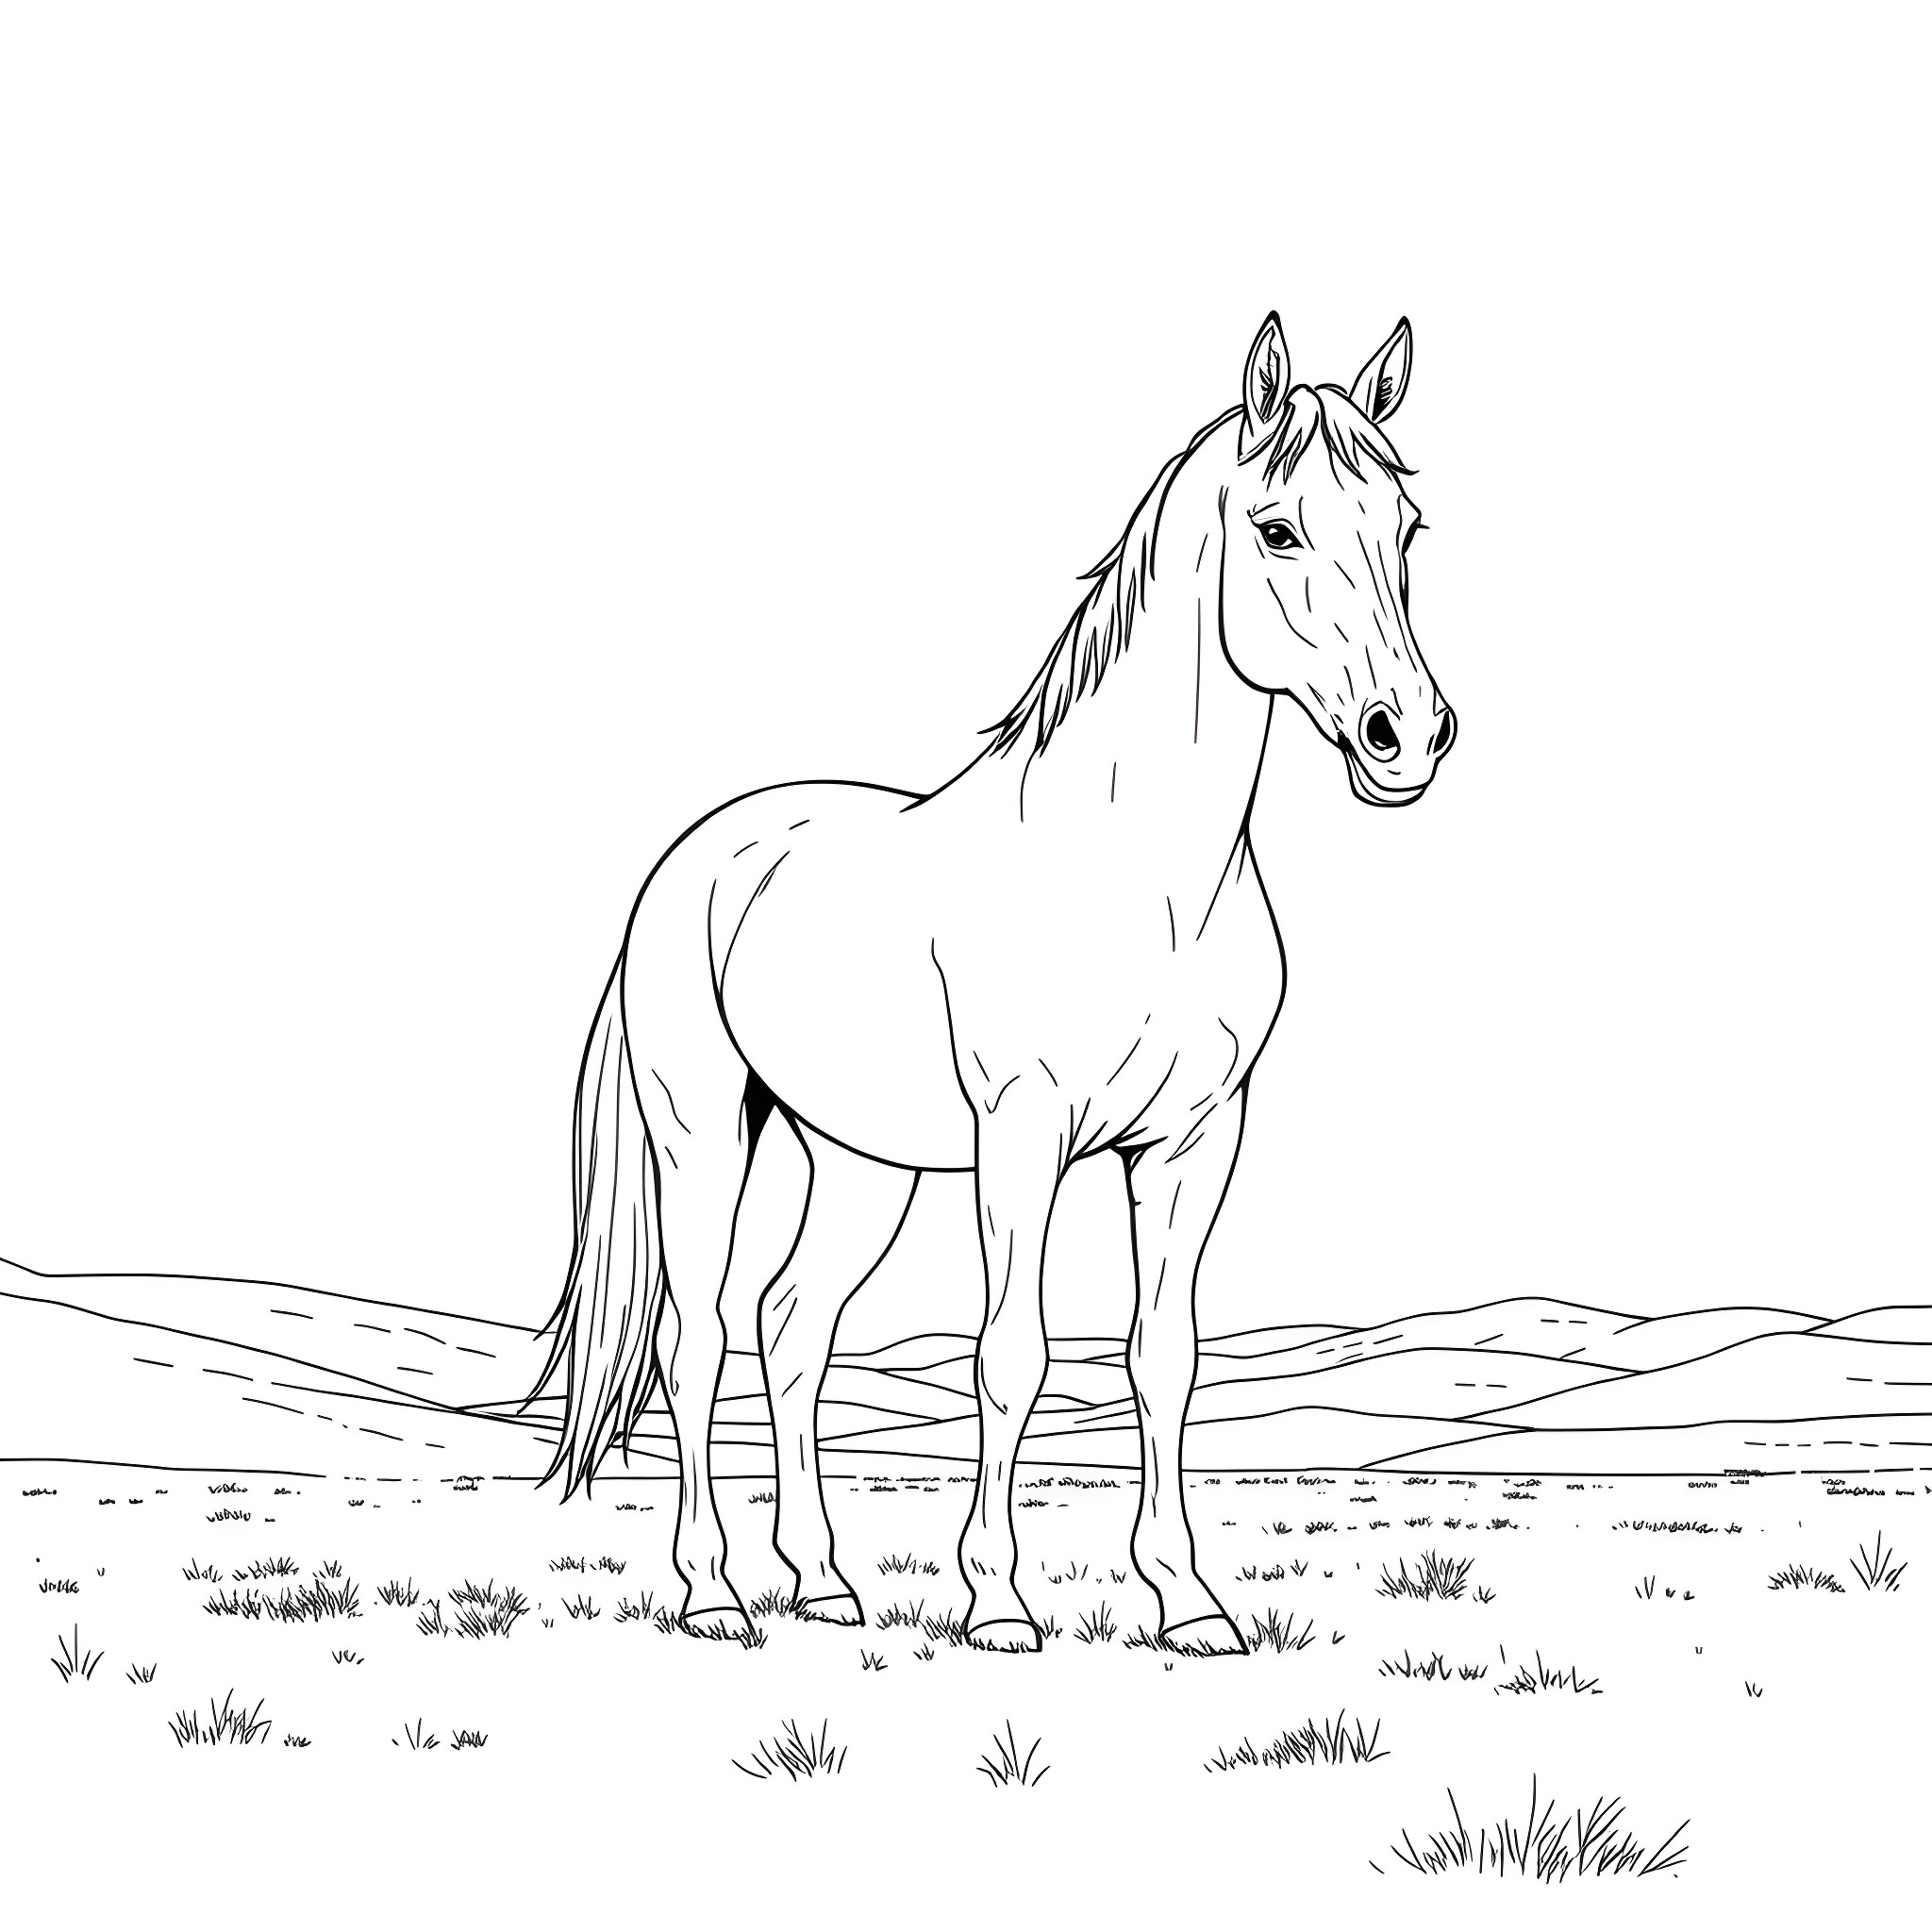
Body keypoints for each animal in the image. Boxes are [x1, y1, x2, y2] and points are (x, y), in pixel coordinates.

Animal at [534, 312, 1455, 1655]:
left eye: (1406, 528)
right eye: (1277, 528)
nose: (1406, 735)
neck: (1136, 871)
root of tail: (700, 853)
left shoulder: (1192, 1141)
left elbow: (1164, 1357)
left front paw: (1186, 1602)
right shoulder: (1024, 1132)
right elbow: (1008, 1353)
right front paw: (999, 1601)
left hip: (857, 1161)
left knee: (792, 1326)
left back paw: (822, 1581)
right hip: (699, 1133)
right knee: (698, 1337)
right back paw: (711, 1588)